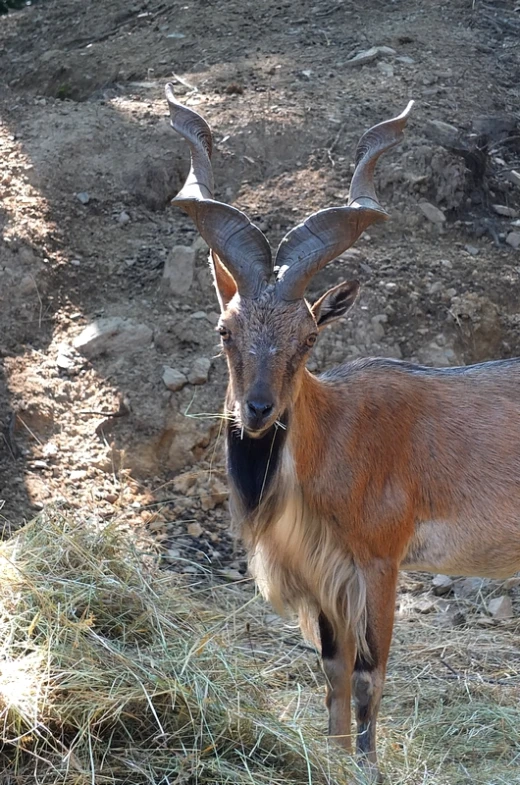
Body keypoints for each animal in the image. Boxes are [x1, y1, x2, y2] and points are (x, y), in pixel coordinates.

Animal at [166, 86, 520, 776]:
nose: (256, 411)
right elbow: (331, 674)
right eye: (225, 331)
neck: (334, 440)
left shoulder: (379, 563)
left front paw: (368, 768)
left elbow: (366, 676)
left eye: (308, 339)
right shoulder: (322, 577)